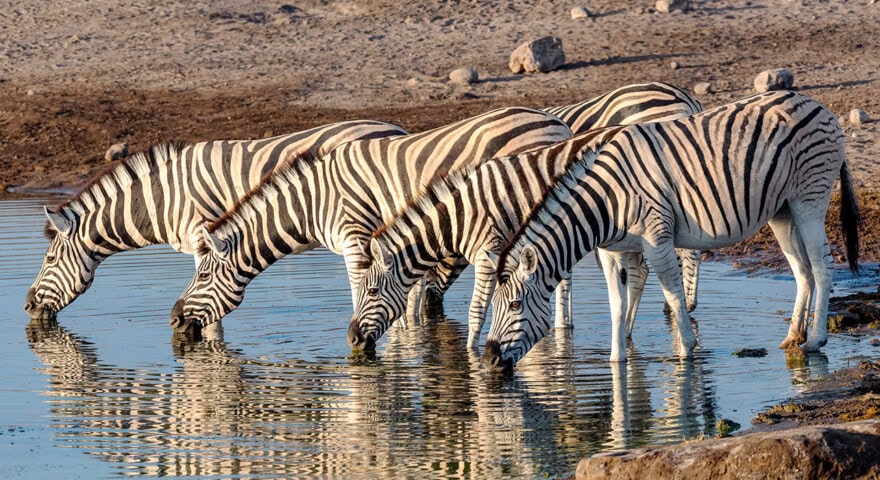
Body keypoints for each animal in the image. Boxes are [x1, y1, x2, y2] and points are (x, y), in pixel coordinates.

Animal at [24, 120, 408, 320]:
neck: (165, 197)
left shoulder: (203, 237)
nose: (26, 307)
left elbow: (206, 287)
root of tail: (395, 129)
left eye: (50, 259)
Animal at [168, 107, 573, 336]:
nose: (173, 320)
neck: (313, 201)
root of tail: (558, 124)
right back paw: (562, 331)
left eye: (203, 275)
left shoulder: (356, 239)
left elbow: (361, 289)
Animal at [348, 84, 705, 352]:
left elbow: (479, 309)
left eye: (372, 292)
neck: (461, 212)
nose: (351, 339)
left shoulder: (489, 253)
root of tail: (685, 98)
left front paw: (472, 355)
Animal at [482, 91, 860, 371]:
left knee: (822, 268)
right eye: (496, 305)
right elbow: (618, 303)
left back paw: (815, 340)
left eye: (515, 304)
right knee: (802, 270)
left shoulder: (657, 239)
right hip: (782, 210)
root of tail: (816, 103)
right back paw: (793, 337)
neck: (605, 201)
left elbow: (674, 295)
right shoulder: (612, 250)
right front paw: (617, 361)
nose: (488, 361)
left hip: (809, 199)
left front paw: (686, 351)